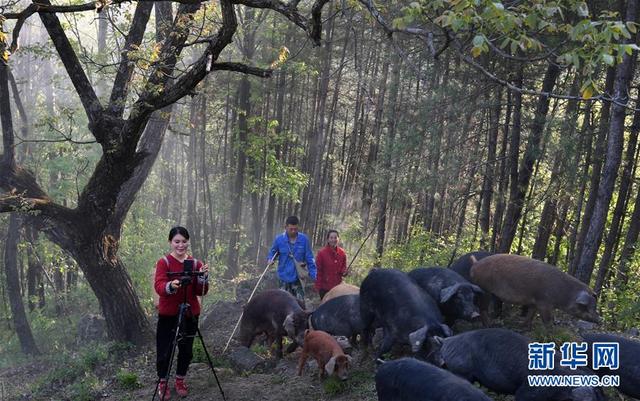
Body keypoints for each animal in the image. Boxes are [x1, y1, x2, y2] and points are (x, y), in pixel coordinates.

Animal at [470, 255, 600, 326]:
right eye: (587, 307)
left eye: (595, 306)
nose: (600, 320)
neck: (564, 293)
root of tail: (475, 264)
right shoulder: (545, 303)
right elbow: (547, 320)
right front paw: (551, 330)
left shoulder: (535, 302)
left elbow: (531, 314)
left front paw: (524, 326)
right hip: (484, 289)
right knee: (482, 309)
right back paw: (489, 325)